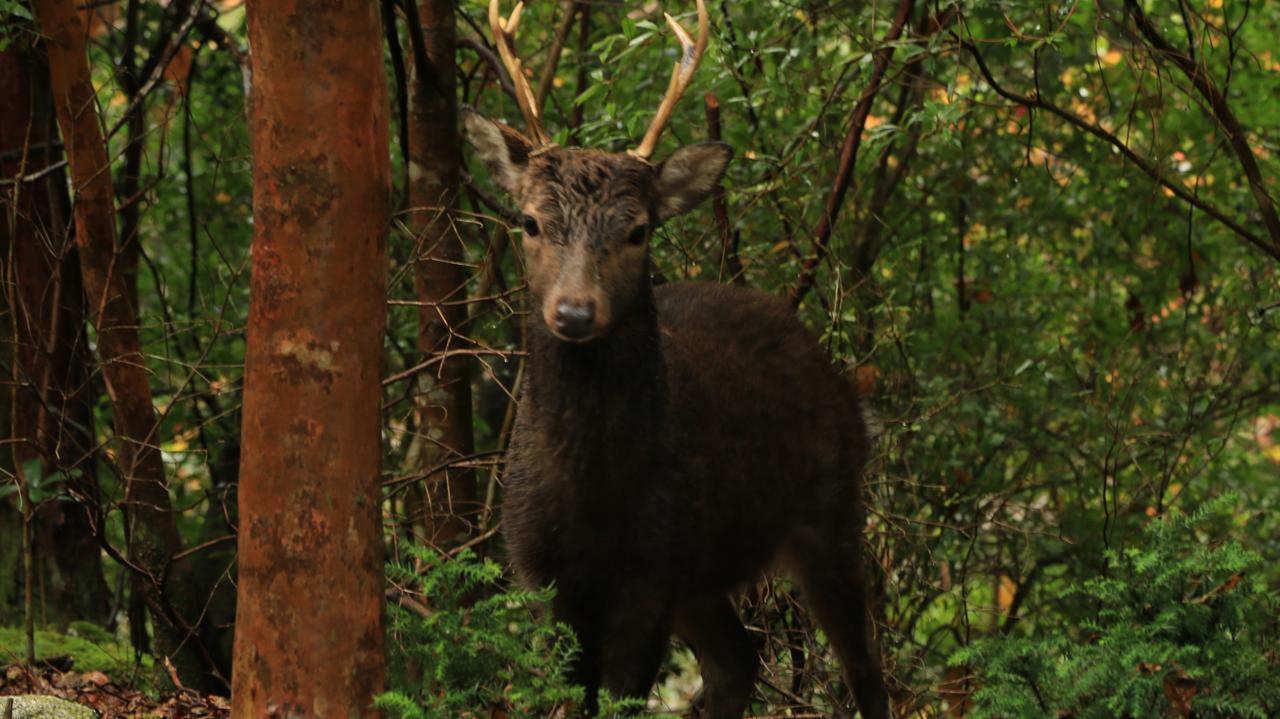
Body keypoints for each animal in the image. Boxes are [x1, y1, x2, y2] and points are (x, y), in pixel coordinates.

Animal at [468, 2, 890, 711]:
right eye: (529, 222)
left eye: (638, 229)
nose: (575, 313)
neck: (594, 493)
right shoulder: (543, 573)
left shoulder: (654, 569)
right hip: (707, 572)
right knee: (738, 661)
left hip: (830, 508)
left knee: (864, 667)